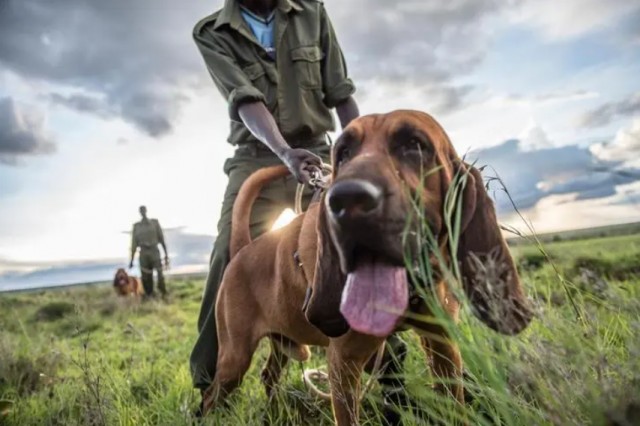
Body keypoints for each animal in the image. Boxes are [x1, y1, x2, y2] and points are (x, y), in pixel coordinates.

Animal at [204, 110, 528, 426]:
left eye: (414, 144)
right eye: (343, 153)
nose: (347, 200)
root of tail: (242, 250)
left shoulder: (443, 348)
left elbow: (454, 405)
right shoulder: (344, 363)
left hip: (284, 342)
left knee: (268, 376)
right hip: (234, 359)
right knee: (213, 395)